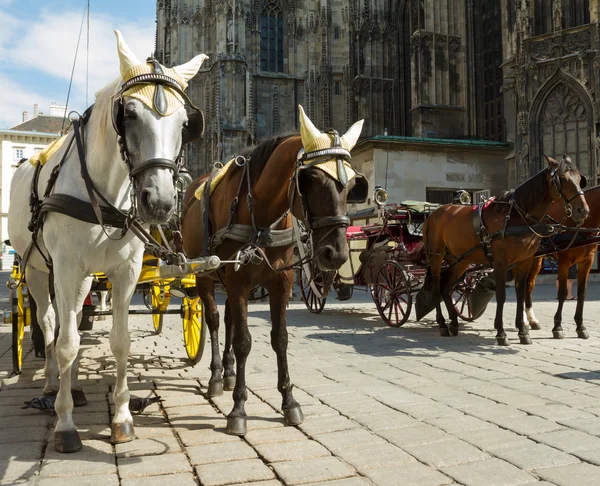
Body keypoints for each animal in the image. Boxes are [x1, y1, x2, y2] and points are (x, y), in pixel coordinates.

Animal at [6, 32, 209, 454]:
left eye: (186, 123)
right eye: (127, 114)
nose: (159, 201)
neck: (104, 193)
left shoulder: (124, 272)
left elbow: (119, 342)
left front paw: (122, 417)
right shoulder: (64, 267)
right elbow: (66, 343)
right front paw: (65, 423)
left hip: (81, 276)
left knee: (69, 320)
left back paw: (73, 387)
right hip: (37, 269)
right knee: (50, 323)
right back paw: (52, 384)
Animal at [179, 105, 366, 432]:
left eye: (353, 184)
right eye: (311, 178)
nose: (336, 254)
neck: (262, 215)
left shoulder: (282, 280)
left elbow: (279, 338)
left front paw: (289, 401)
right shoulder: (237, 280)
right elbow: (243, 341)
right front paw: (238, 409)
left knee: (229, 320)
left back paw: (229, 374)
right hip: (203, 275)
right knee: (214, 320)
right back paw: (216, 376)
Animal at [424, 156, 588, 346]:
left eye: (579, 179)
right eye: (562, 179)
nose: (583, 210)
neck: (517, 217)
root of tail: (433, 214)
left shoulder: (524, 261)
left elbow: (520, 293)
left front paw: (523, 331)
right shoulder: (501, 263)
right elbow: (501, 295)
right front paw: (501, 333)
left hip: (460, 260)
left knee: (446, 288)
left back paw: (454, 323)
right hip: (436, 257)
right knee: (437, 287)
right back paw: (442, 324)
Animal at [524, 184, 596, 340]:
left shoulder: (587, 260)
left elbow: (582, 292)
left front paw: (580, 326)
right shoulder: (564, 261)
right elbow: (562, 292)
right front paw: (557, 327)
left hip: (536, 260)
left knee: (528, 285)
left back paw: (531, 320)